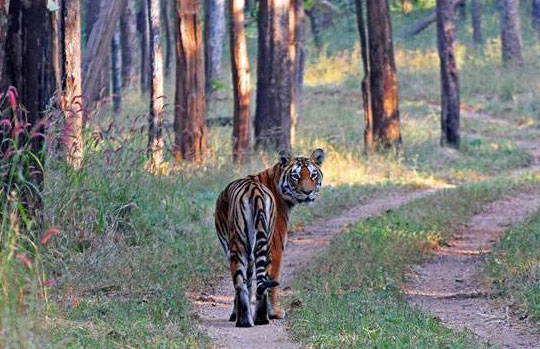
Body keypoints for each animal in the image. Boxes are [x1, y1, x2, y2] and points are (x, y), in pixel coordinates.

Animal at [214, 147, 324, 326]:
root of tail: (254, 192)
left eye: (313, 175)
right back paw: (259, 317)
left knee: (241, 282)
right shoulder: (277, 246)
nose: (308, 192)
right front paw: (275, 313)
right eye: (296, 176)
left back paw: (245, 320)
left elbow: (249, 282)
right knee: (258, 282)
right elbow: (273, 280)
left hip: (239, 245)